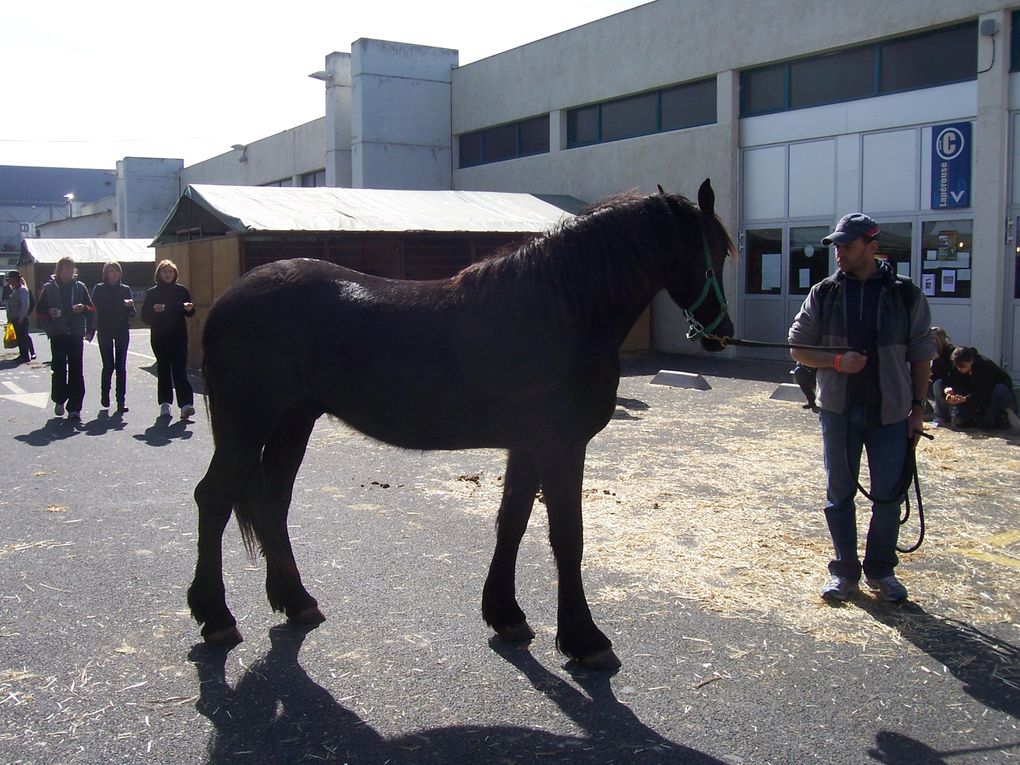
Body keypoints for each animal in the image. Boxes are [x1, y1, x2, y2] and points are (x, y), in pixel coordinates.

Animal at [189, 179, 734, 669]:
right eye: (717, 250)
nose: (721, 333)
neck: (558, 311)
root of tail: (228, 300)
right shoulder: (561, 444)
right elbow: (567, 536)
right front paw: (585, 640)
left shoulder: (528, 445)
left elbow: (512, 522)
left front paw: (506, 614)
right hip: (247, 427)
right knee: (213, 499)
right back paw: (216, 617)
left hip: (292, 423)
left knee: (273, 501)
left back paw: (296, 601)